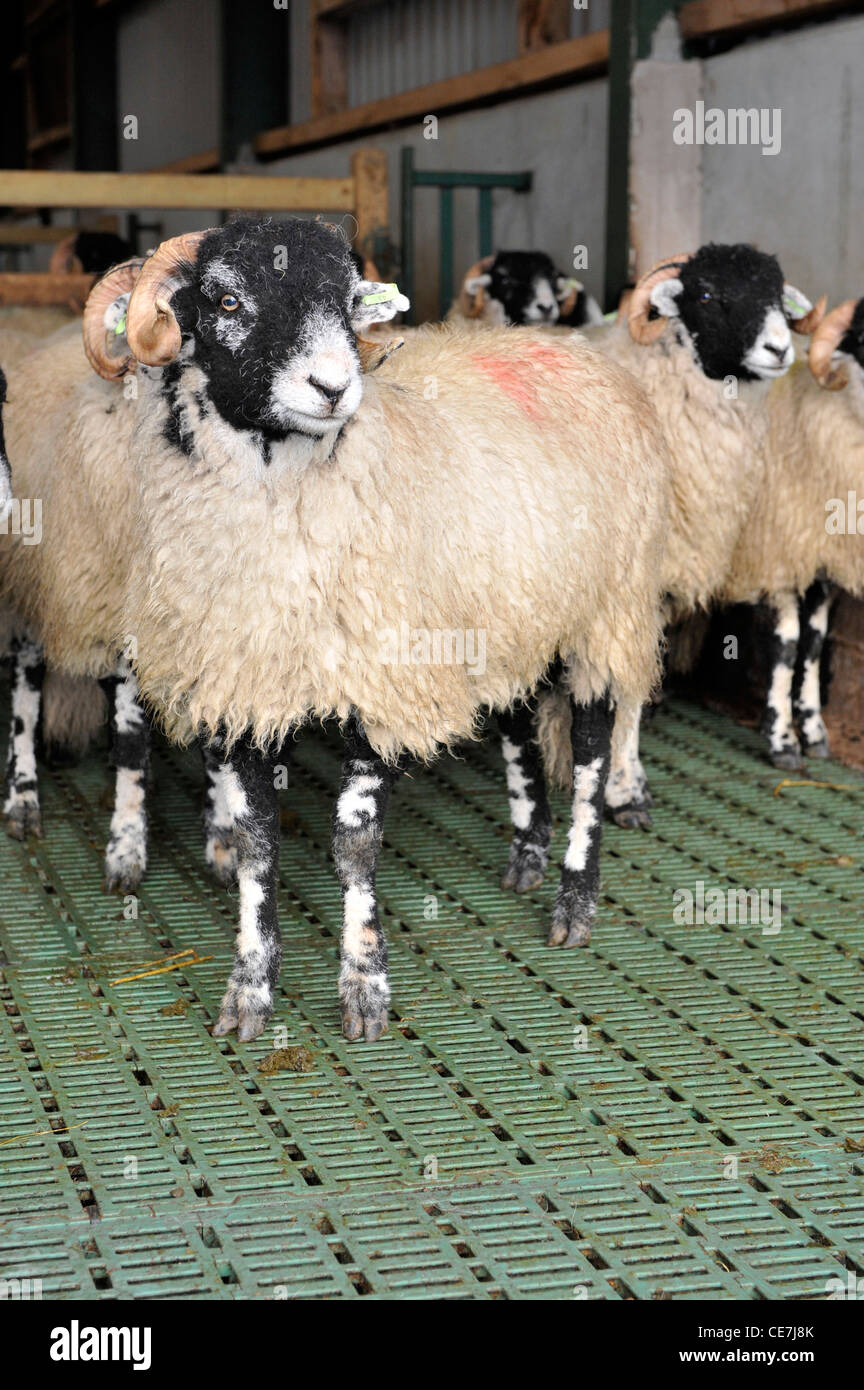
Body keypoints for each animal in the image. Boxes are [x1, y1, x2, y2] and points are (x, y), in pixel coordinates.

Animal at [722, 297, 864, 767]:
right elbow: (787, 644)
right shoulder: (779, 554)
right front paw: (782, 738)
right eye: (863, 338)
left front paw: (814, 729)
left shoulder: (823, 561)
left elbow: (815, 642)